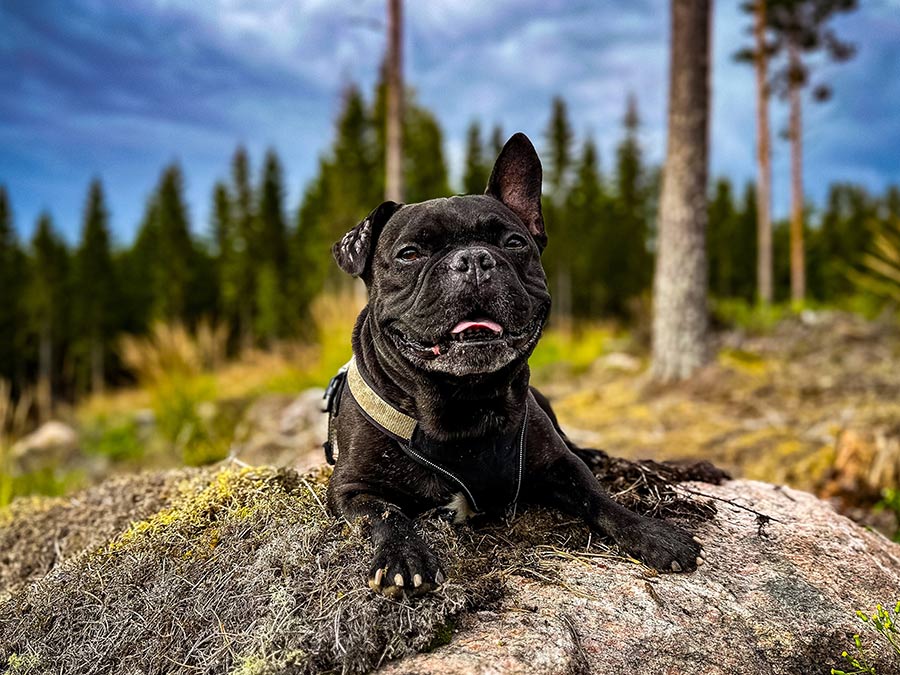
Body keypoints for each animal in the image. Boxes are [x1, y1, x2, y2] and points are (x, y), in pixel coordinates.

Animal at [324, 135, 704, 600]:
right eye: (410, 254)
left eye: (513, 243)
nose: (473, 259)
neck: (467, 403)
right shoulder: (351, 488)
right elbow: (385, 515)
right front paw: (404, 556)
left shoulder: (560, 465)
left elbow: (598, 498)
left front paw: (651, 533)